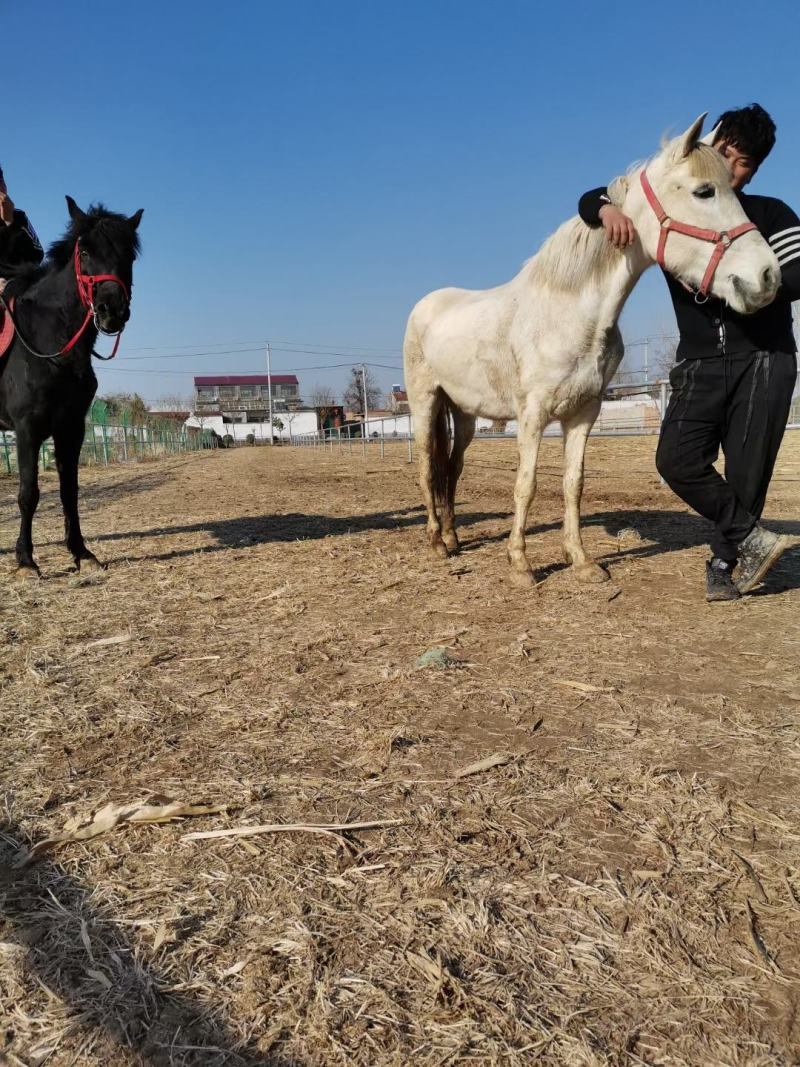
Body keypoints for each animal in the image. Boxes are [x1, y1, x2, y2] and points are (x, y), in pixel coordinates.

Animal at [0, 196, 143, 578]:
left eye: (129, 254)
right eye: (85, 252)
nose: (111, 309)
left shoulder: (71, 427)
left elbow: (70, 491)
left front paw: (81, 552)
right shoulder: (28, 427)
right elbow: (28, 493)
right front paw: (25, 560)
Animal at [402, 114, 781, 588]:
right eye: (704, 191)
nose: (767, 277)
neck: (571, 313)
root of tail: (425, 306)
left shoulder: (584, 413)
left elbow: (573, 483)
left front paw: (580, 561)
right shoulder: (532, 415)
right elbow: (526, 483)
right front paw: (521, 565)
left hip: (465, 414)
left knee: (451, 468)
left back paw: (453, 539)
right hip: (425, 403)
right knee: (427, 468)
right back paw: (437, 543)